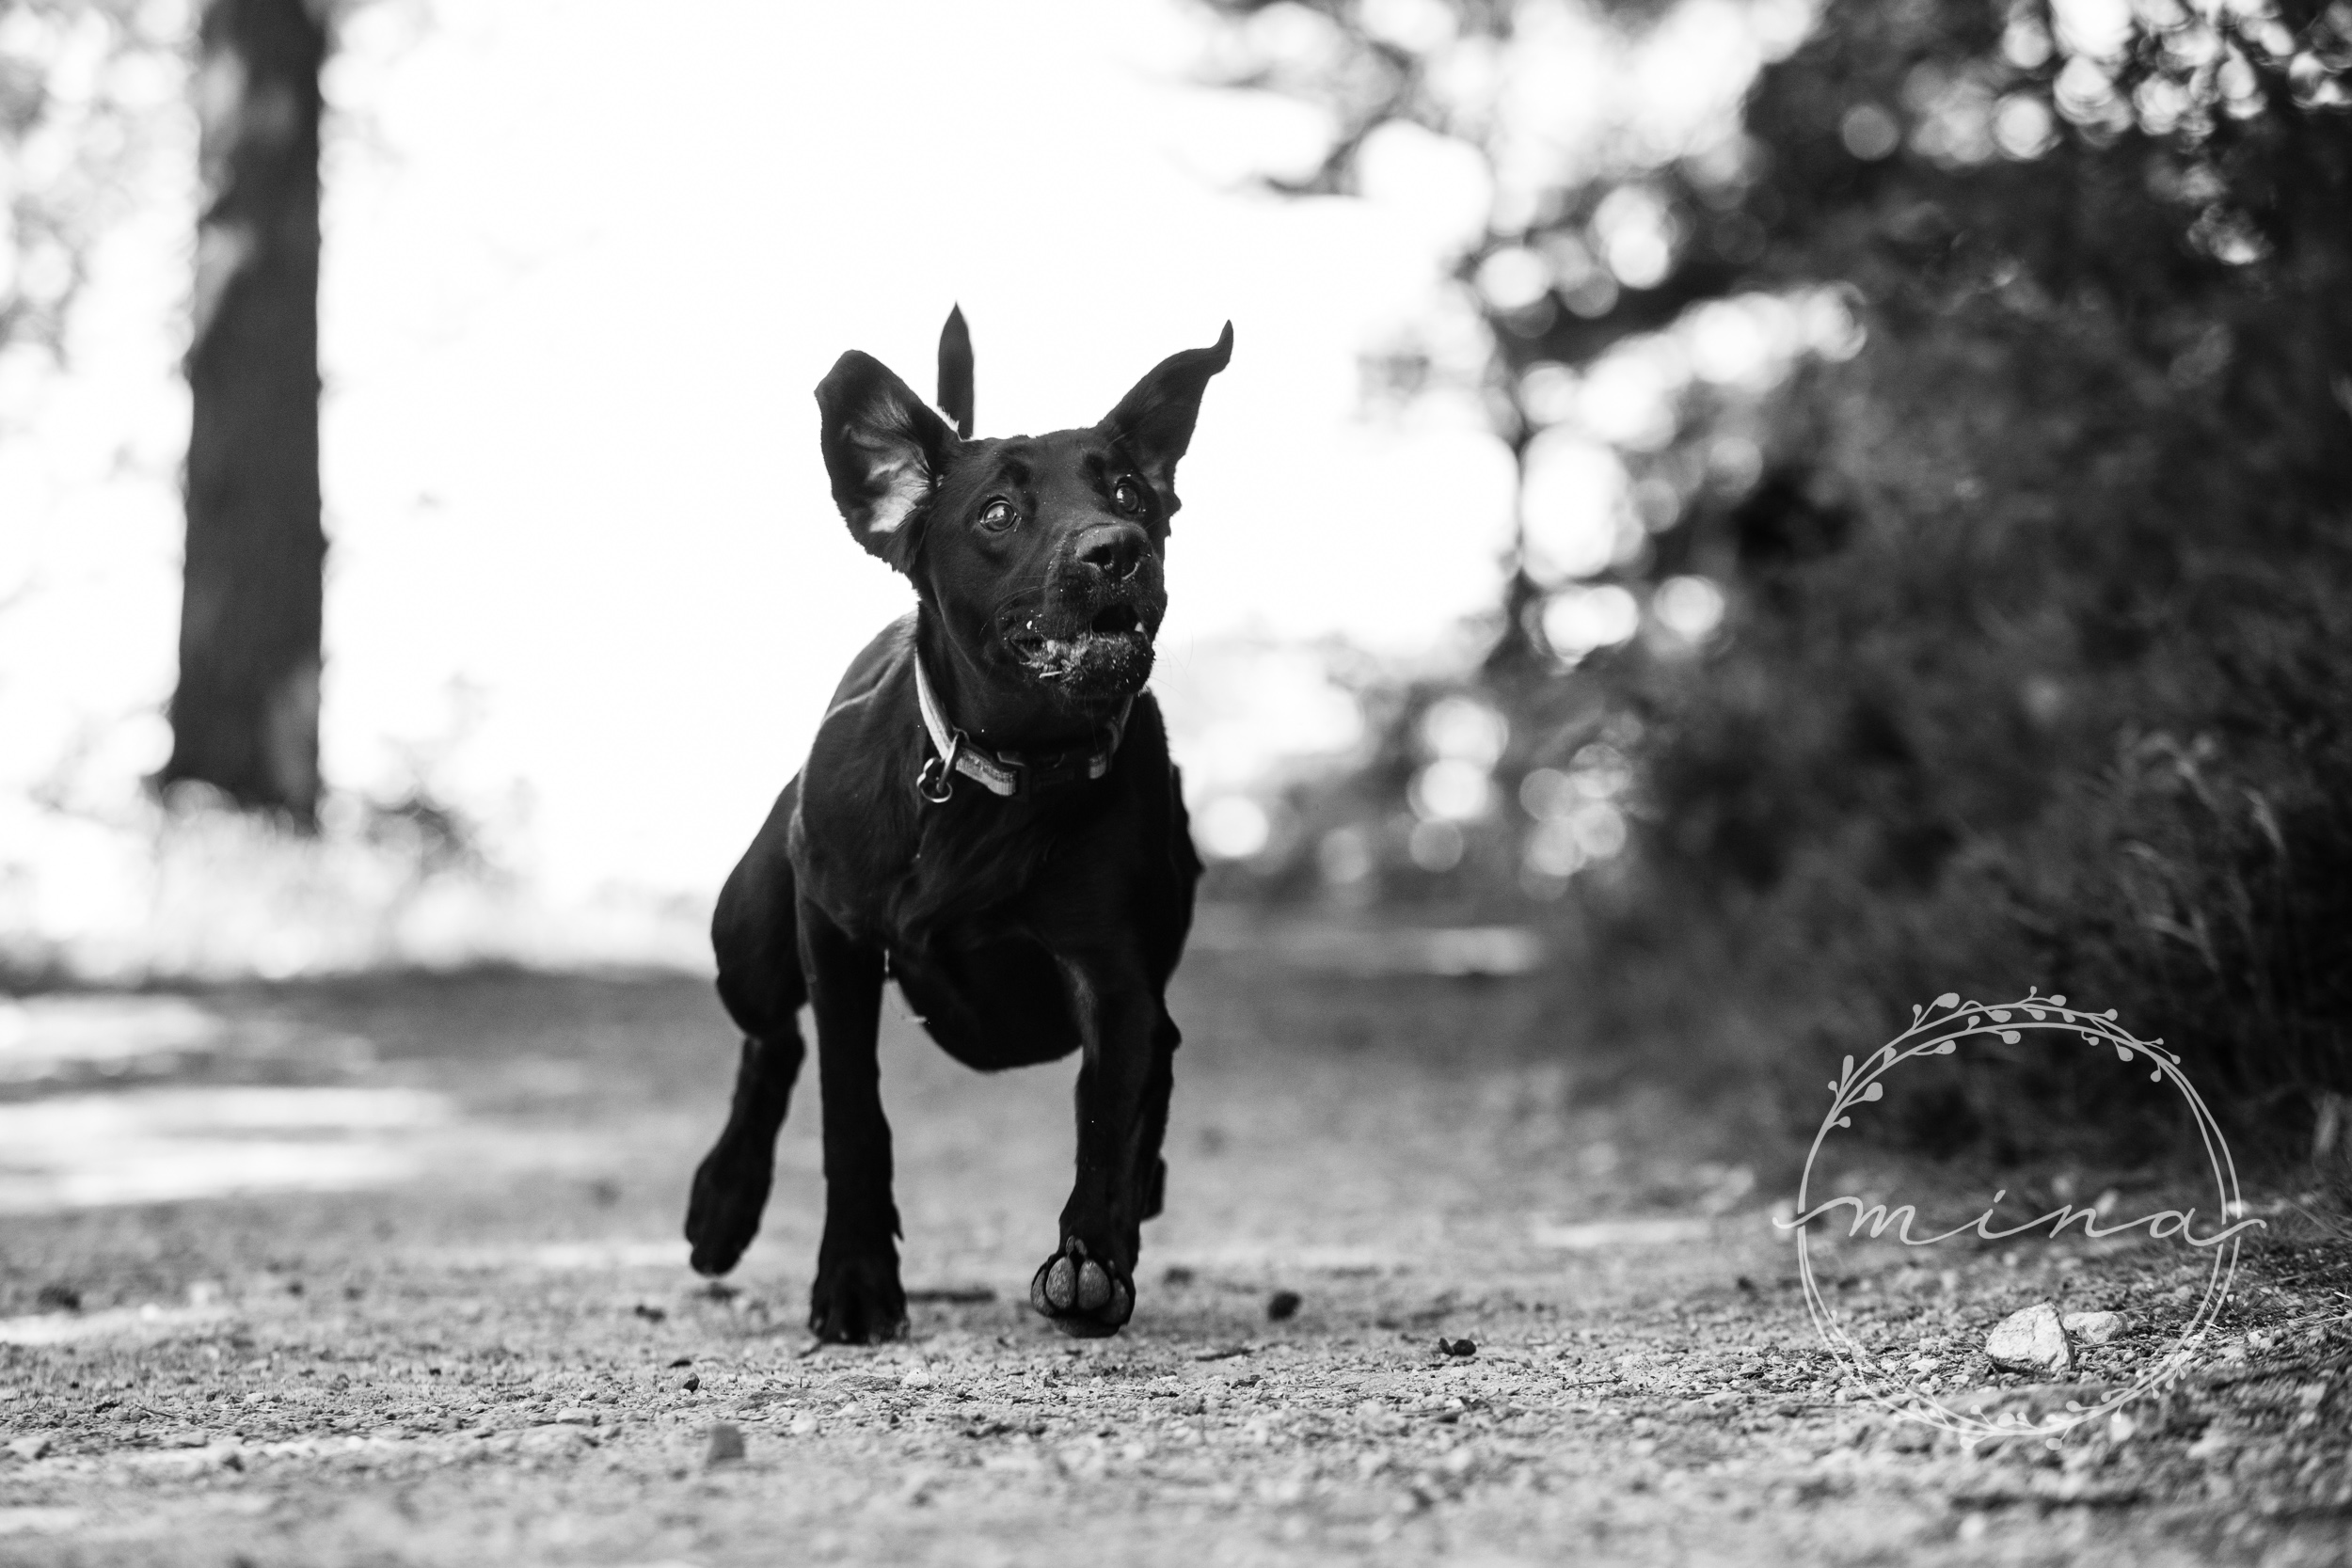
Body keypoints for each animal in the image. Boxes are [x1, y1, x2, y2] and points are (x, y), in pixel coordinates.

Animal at [682, 312, 1232, 1344]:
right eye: (997, 514)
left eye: (1130, 491)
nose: (1117, 547)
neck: (1005, 777)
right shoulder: (835, 933)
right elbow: (851, 1108)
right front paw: (855, 1280)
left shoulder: (1115, 975)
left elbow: (1109, 1111)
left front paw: (1091, 1259)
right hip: (751, 934)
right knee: (772, 1040)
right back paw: (723, 1200)